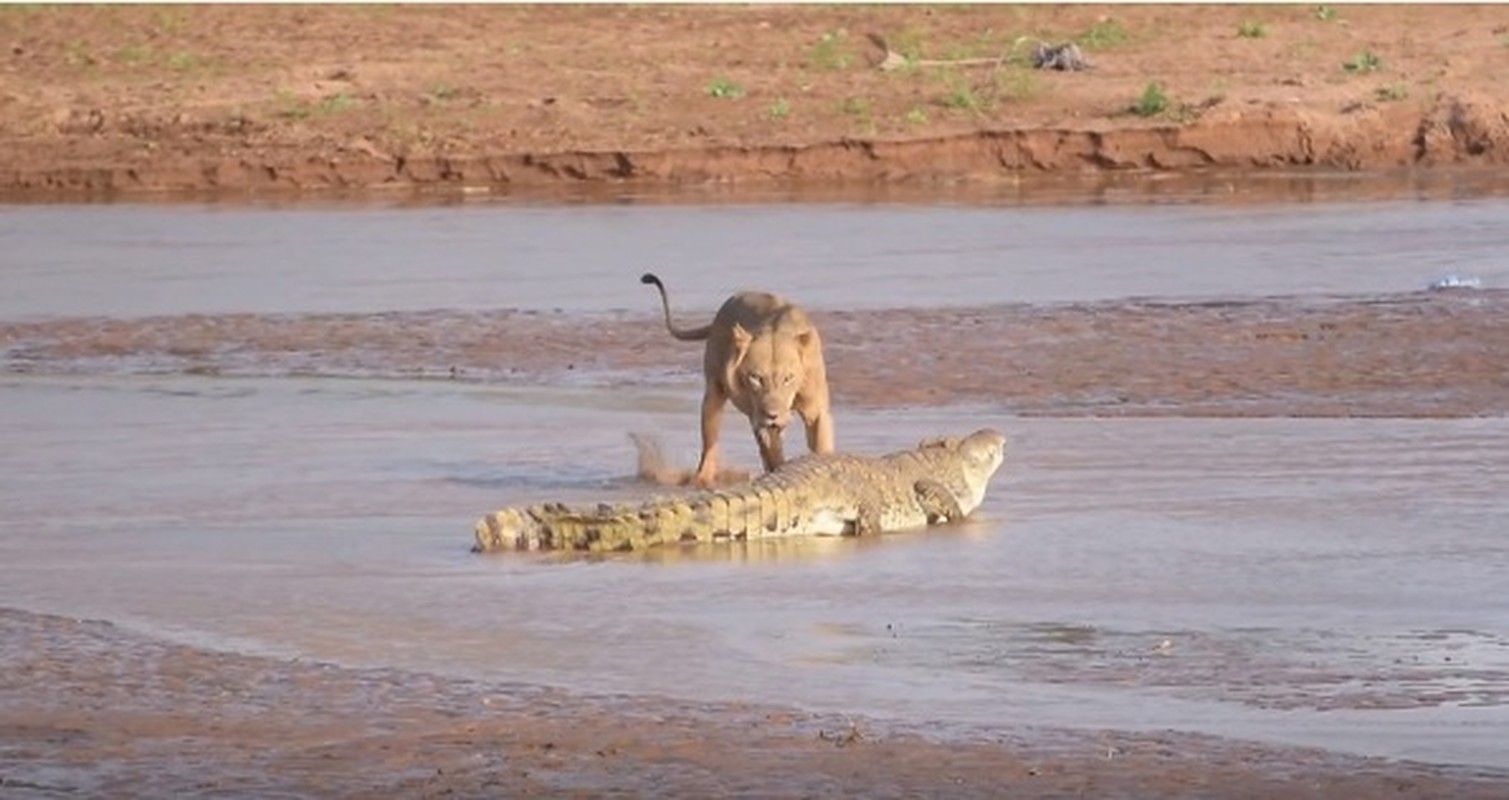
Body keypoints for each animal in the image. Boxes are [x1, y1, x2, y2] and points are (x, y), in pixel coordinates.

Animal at [633, 271, 832, 486]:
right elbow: (772, 449)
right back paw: (702, 479)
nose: (772, 415)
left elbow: (821, 446)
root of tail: (721, 313)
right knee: (710, 443)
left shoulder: (815, 411)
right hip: (714, 393)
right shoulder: (759, 417)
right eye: (756, 377)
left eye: (788, 378)